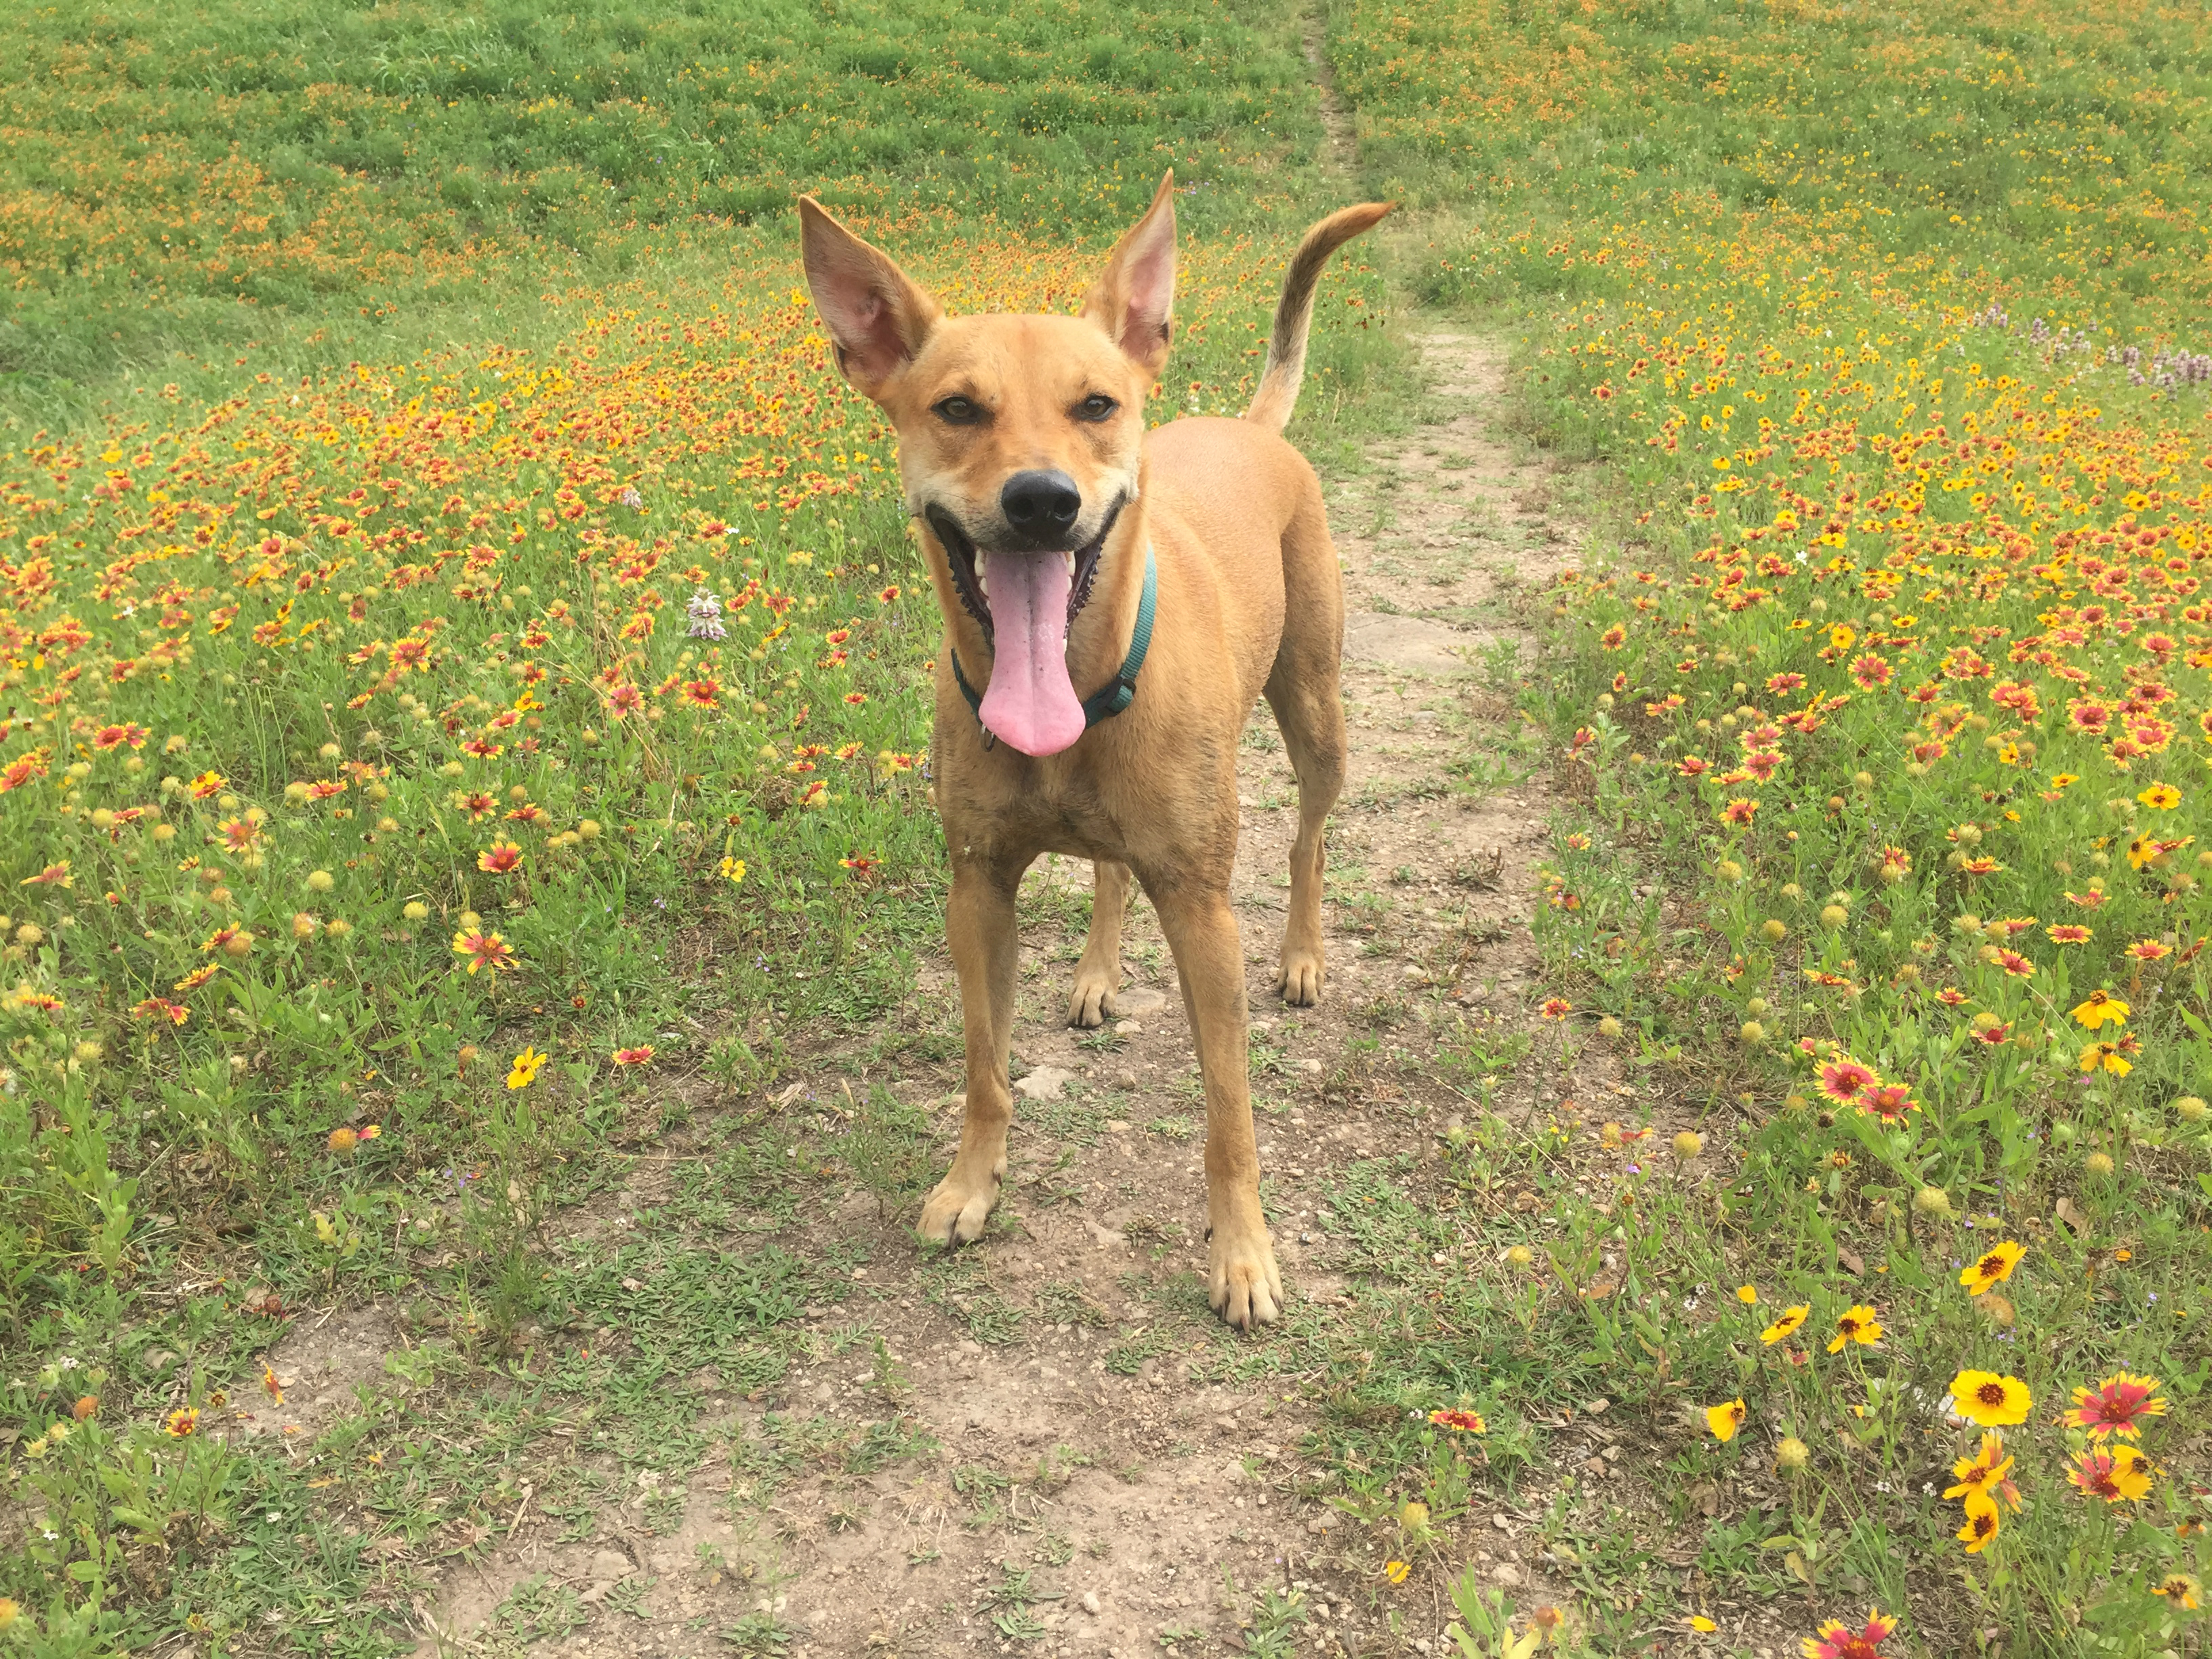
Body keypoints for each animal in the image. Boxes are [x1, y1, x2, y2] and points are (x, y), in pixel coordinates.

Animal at [805, 176, 1389, 1336]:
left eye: (1097, 406)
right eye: (957, 408)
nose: (1042, 500)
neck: (1071, 694)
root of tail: (1250, 428)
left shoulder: (1204, 912)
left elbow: (1230, 1114)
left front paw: (1244, 1255)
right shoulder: (977, 888)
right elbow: (984, 1067)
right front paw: (969, 1185)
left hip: (1316, 713)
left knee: (1308, 837)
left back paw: (1303, 955)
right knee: (1112, 871)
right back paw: (1097, 973)